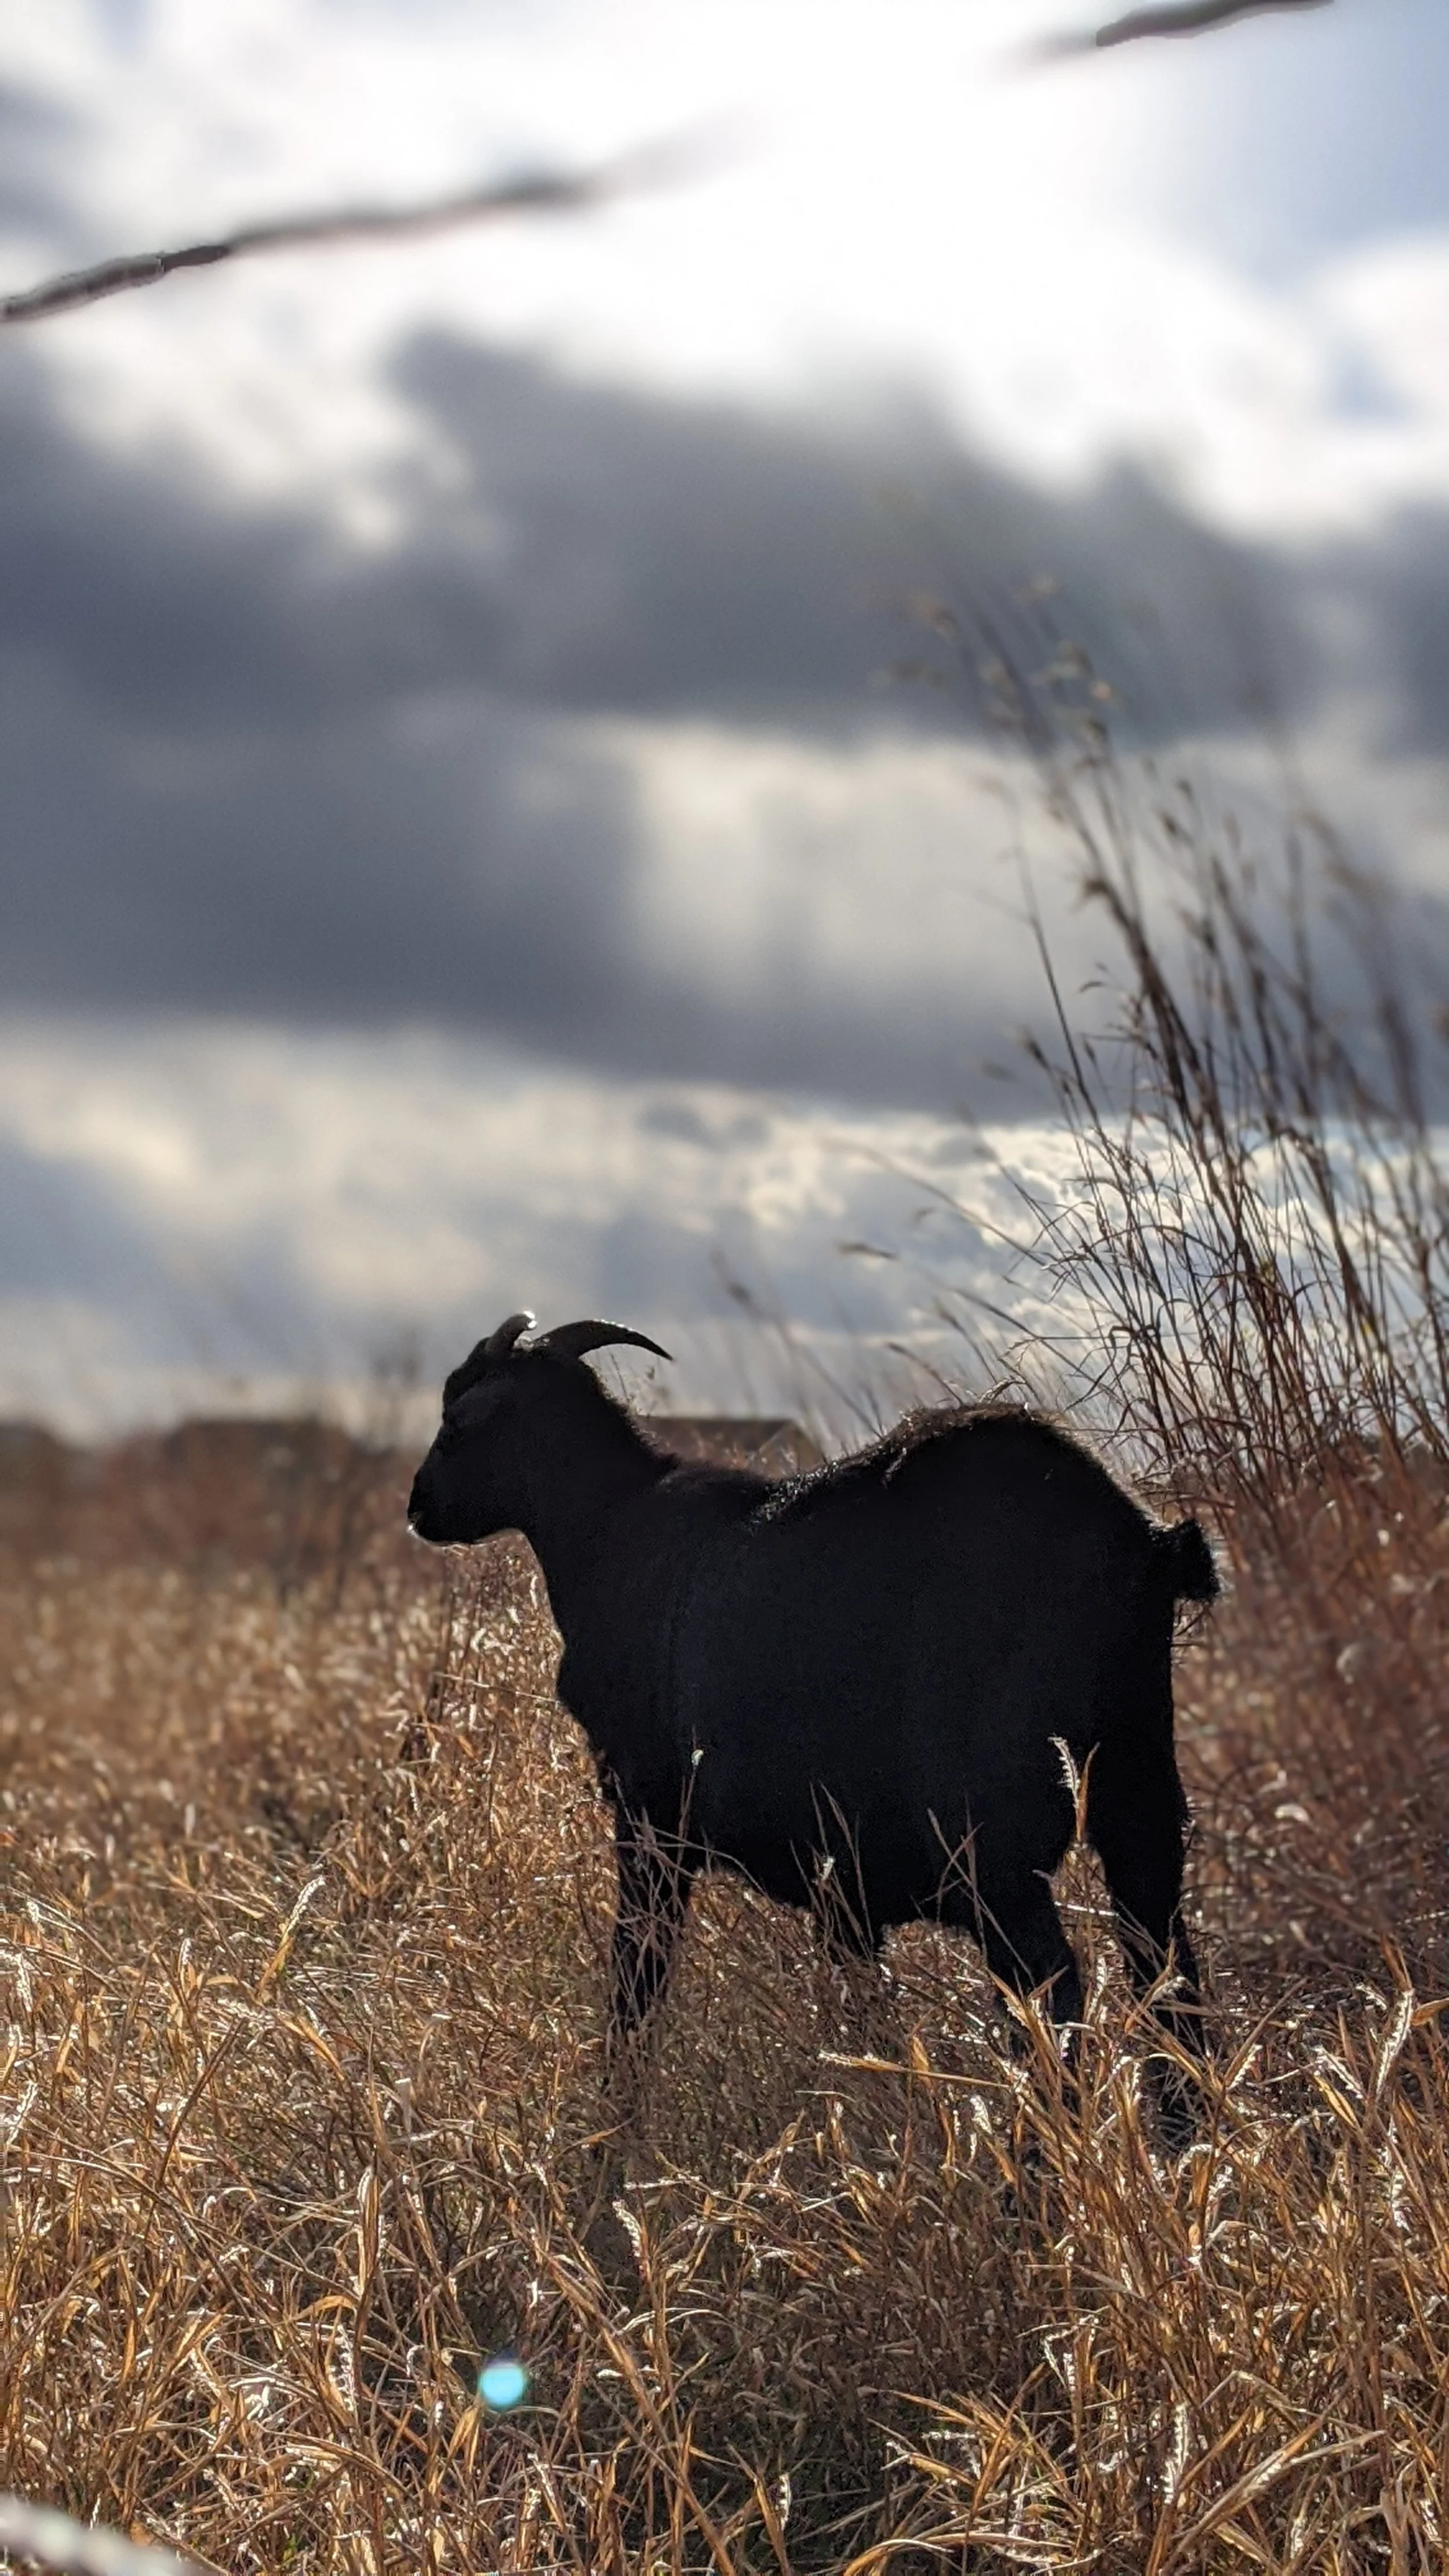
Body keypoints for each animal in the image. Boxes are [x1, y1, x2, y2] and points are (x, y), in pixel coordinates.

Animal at [408, 1312, 1218, 2140]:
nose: (419, 1505)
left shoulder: (651, 1819)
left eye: (457, 1419)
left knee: (1050, 1987)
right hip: (1139, 1798)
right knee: (1164, 1967)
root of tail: (1144, 1545)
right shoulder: (842, 1883)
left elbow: (637, 1978)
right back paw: (1186, 2139)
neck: (612, 1531)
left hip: (993, 1841)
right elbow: (866, 2014)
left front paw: (613, 2126)